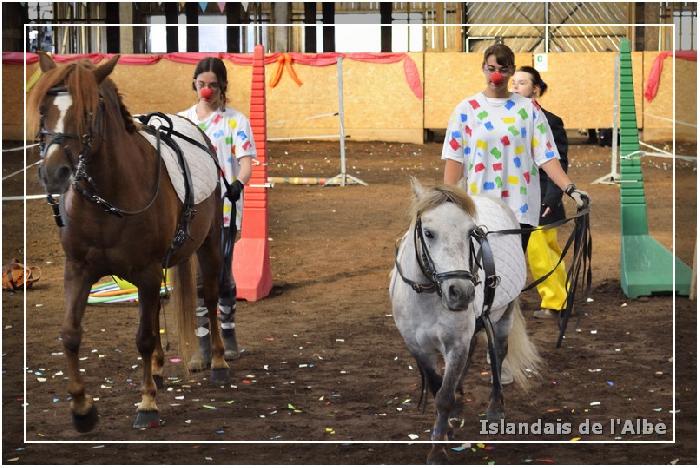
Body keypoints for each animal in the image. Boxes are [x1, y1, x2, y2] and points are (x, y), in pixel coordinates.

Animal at [28, 54, 228, 432]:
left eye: (88, 111)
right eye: (44, 108)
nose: (54, 173)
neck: (110, 197)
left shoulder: (146, 271)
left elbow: (144, 337)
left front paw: (147, 403)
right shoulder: (78, 270)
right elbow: (70, 334)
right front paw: (82, 409)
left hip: (209, 243)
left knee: (209, 297)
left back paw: (220, 362)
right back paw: (159, 369)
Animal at [388, 180, 540, 464]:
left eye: (471, 232)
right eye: (428, 233)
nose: (461, 292)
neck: (429, 295)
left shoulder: (456, 342)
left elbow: (444, 397)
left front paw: (438, 450)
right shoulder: (417, 347)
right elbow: (437, 387)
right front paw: (447, 426)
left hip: (505, 312)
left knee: (498, 352)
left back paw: (495, 407)